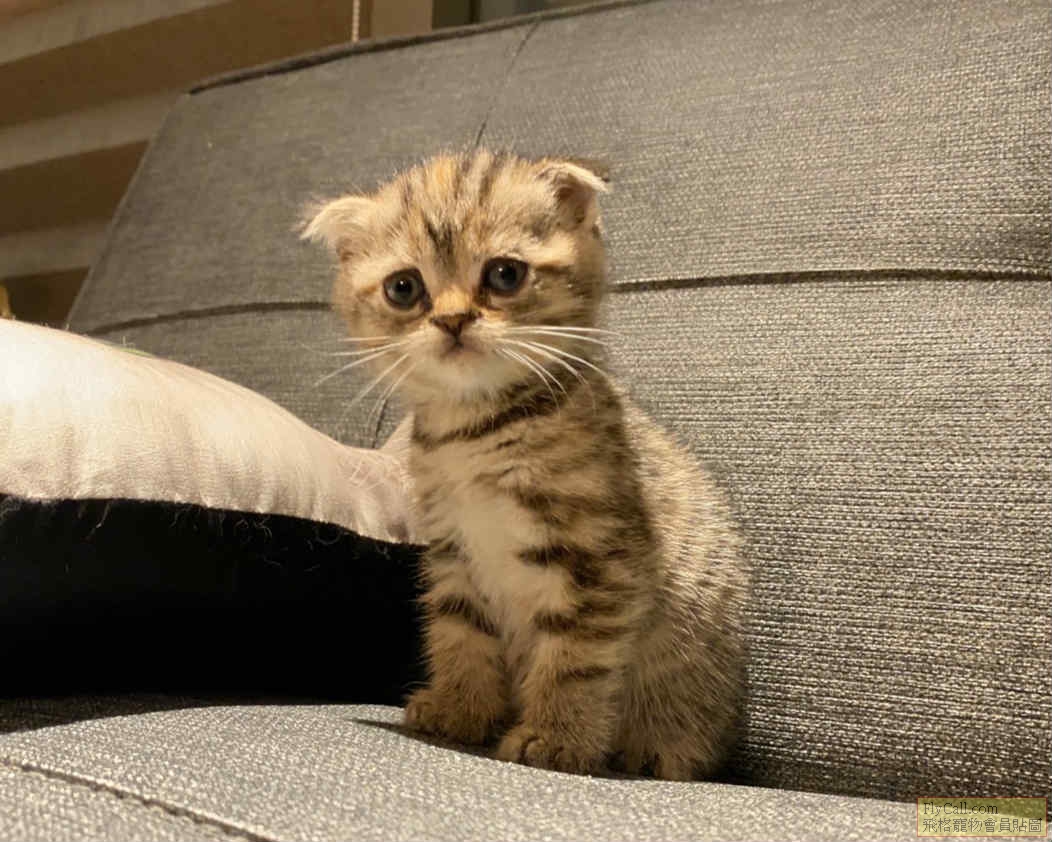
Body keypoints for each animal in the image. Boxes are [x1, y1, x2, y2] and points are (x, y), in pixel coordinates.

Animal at [303, 150, 748, 780]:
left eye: (505, 275)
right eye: (404, 288)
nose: (453, 320)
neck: (476, 431)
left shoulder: (602, 559)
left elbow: (576, 656)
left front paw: (557, 736)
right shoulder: (452, 548)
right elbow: (460, 630)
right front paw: (460, 707)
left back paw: (660, 748)